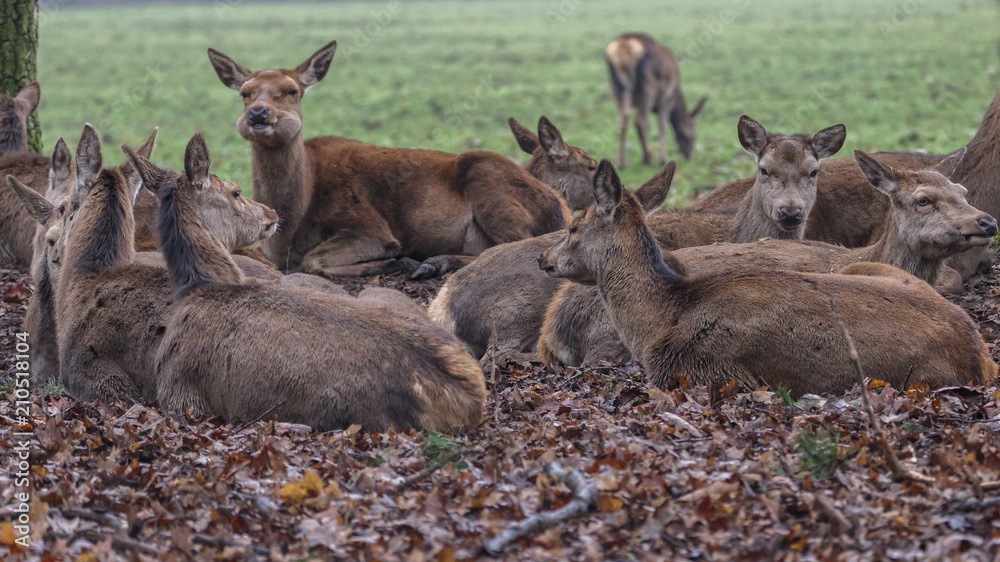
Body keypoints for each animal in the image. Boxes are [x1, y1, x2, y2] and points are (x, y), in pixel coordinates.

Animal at [430, 115, 844, 358]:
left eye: (814, 171)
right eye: (763, 169)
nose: (790, 213)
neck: (737, 230)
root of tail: (444, 303)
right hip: (513, 317)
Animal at [604, 33, 708, 165]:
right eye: (694, 133)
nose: (690, 156)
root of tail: (624, 45)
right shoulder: (666, 97)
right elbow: (662, 124)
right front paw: (663, 158)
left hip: (616, 87)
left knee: (623, 118)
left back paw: (621, 162)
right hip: (647, 87)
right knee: (640, 120)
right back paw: (649, 158)